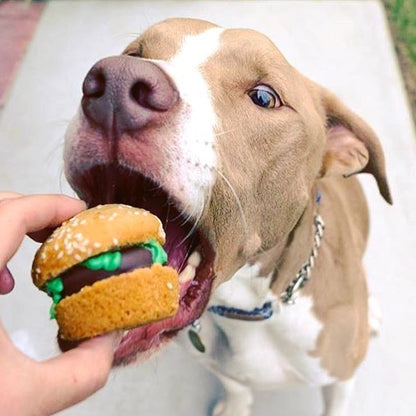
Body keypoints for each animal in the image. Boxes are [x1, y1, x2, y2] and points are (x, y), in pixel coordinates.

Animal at [63, 17, 392, 414]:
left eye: (264, 97)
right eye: (135, 54)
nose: (116, 83)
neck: (248, 307)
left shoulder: (340, 376)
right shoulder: (211, 356)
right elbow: (235, 384)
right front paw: (235, 405)